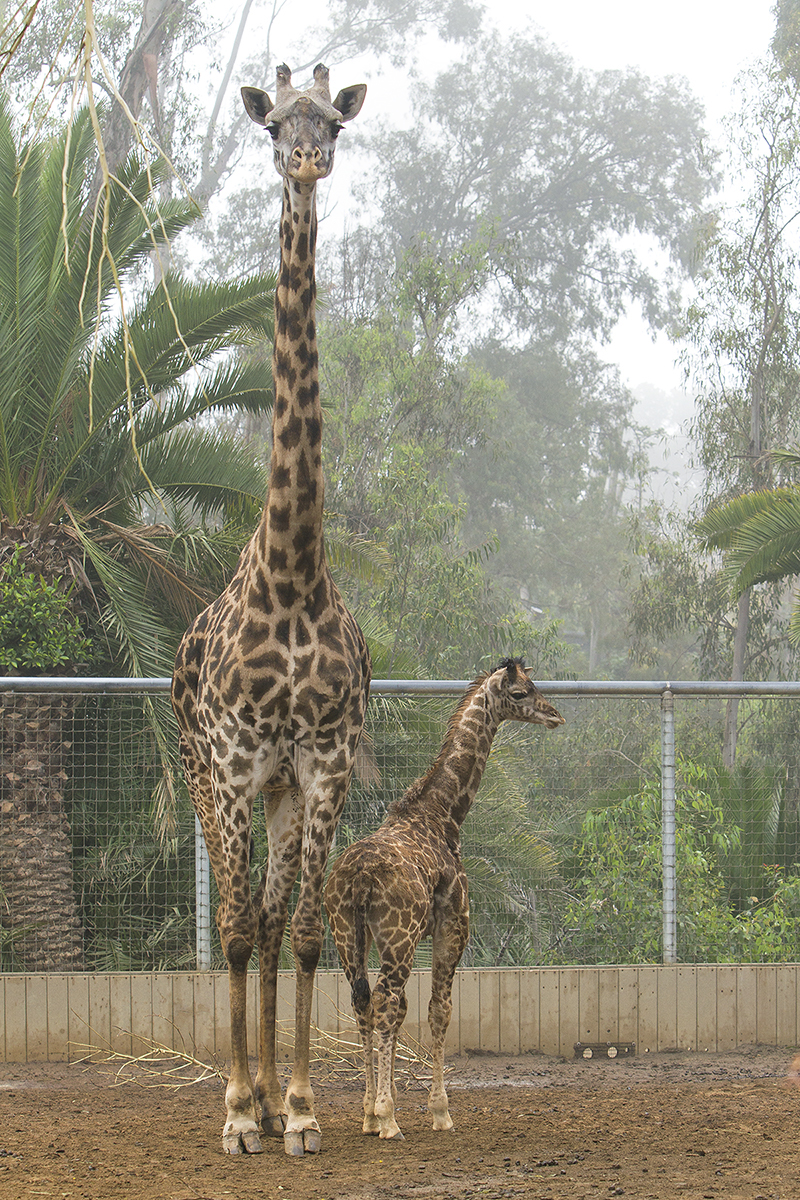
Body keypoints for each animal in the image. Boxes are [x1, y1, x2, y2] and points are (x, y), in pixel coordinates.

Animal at [323, 662, 563, 1137]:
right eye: (521, 693)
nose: (554, 715)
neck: (443, 815)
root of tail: (358, 878)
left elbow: (410, 1010)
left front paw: (385, 1107)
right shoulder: (453, 927)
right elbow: (439, 1009)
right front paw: (439, 1111)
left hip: (346, 936)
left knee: (364, 1002)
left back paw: (368, 1114)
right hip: (397, 940)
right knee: (385, 1001)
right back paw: (388, 1119)